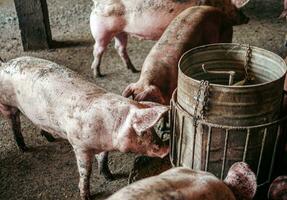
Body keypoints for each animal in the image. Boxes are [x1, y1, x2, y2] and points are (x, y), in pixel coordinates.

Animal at [0, 56, 170, 200]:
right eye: (144, 131)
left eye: (153, 129)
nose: (167, 148)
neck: (107, 133)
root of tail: (5, 64)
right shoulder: (80, 146)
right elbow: (85, 171)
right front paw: (86, 196)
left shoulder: (103, 145)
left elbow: (103, 159)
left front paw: (109, 176)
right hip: (7, 105)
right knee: (14, 123)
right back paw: (23, 148)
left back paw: (50, 138)